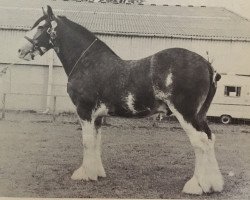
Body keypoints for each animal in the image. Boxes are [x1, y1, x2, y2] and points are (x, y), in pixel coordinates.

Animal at [18, 5, 224, 195]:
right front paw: (97, 173)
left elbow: (86, 141)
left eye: (41, 26)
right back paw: (214, 184)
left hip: (185, 113)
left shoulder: (84, 111)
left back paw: (196, 186)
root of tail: (207, 65)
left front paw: (84, 174)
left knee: (200, 142)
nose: (21, 50)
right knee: (209, 139)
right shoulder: (98, 116)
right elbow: (96, 141)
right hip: (200, 115)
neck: (88, 63)